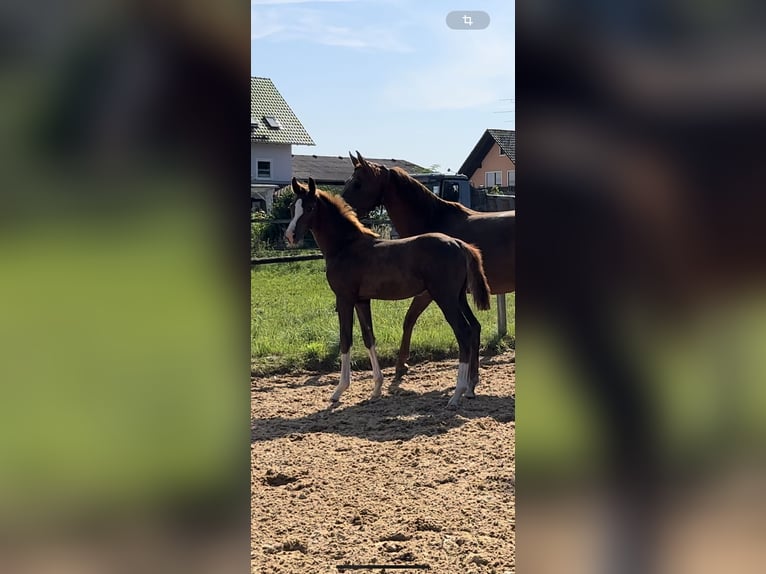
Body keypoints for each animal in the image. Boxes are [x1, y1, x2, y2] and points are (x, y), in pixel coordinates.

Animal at [286, 178, 492, 408]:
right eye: (292, 207)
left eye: (310, 207)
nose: (290, 236)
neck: (345, 246)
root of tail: (459, 244)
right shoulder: (362, 300)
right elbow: (369, 337)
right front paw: (376, 388)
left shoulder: (344, 298)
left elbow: (345, 340)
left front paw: (339, 390)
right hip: (458, 297)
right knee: (473, 327)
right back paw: (469, 389)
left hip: (444, 298)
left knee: (463, 332)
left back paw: (457, 394)